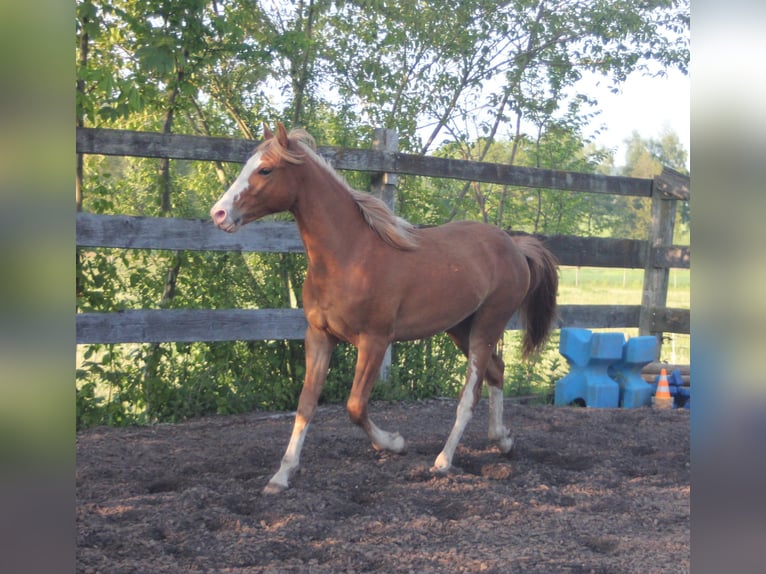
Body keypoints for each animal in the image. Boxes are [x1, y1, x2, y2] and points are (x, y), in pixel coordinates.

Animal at [210, 123, 558, 494]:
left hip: (488, 324)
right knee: (497, 371)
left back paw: (443, 461)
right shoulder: (319, 336)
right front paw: (282, 475)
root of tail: (515, 245)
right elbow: (306, 404)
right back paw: (503, 441)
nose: (219, 213)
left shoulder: (375, 340)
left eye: (265, 169)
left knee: (470, 393)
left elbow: (355, 406)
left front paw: (394, 443)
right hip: (461, 328)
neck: (348, 256)